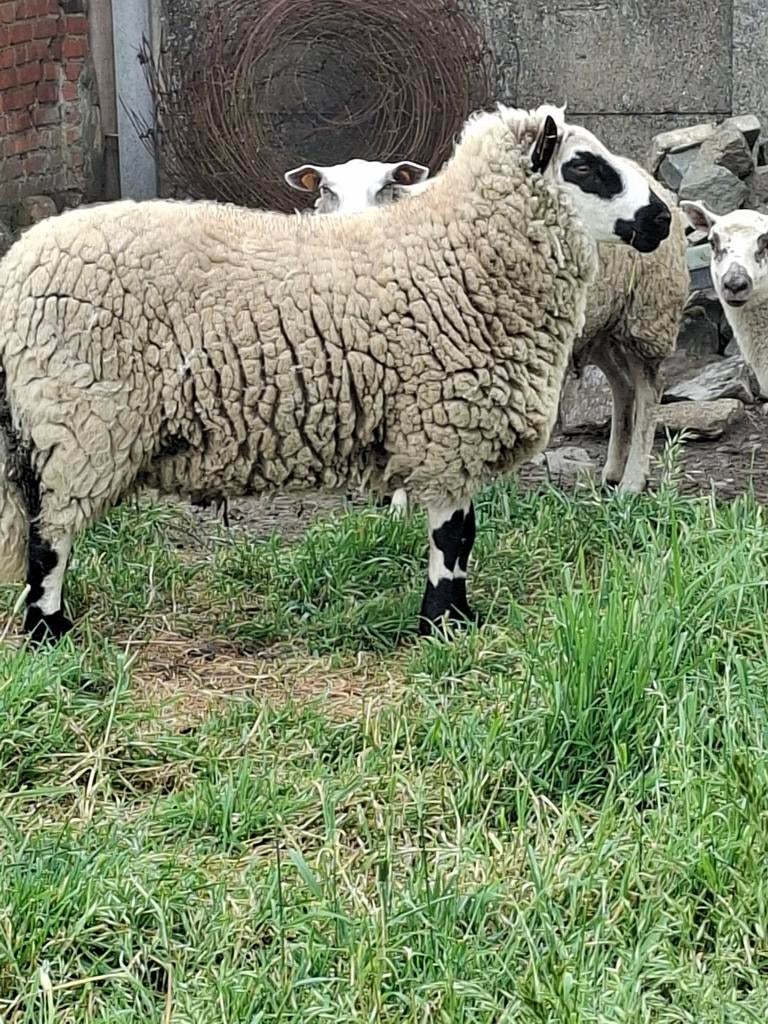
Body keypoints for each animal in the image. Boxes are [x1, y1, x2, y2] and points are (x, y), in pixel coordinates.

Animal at [0, 103, 671, 645]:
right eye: (584, 167)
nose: (661, 219)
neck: (458, 252)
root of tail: (18, 267)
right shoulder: (446, 426)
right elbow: (454, 537)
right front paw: (442, 625)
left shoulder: (444, 430)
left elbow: (459, 533)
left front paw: (455, 620)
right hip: (81, 423)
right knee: (49, 538)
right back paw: (50, 633)